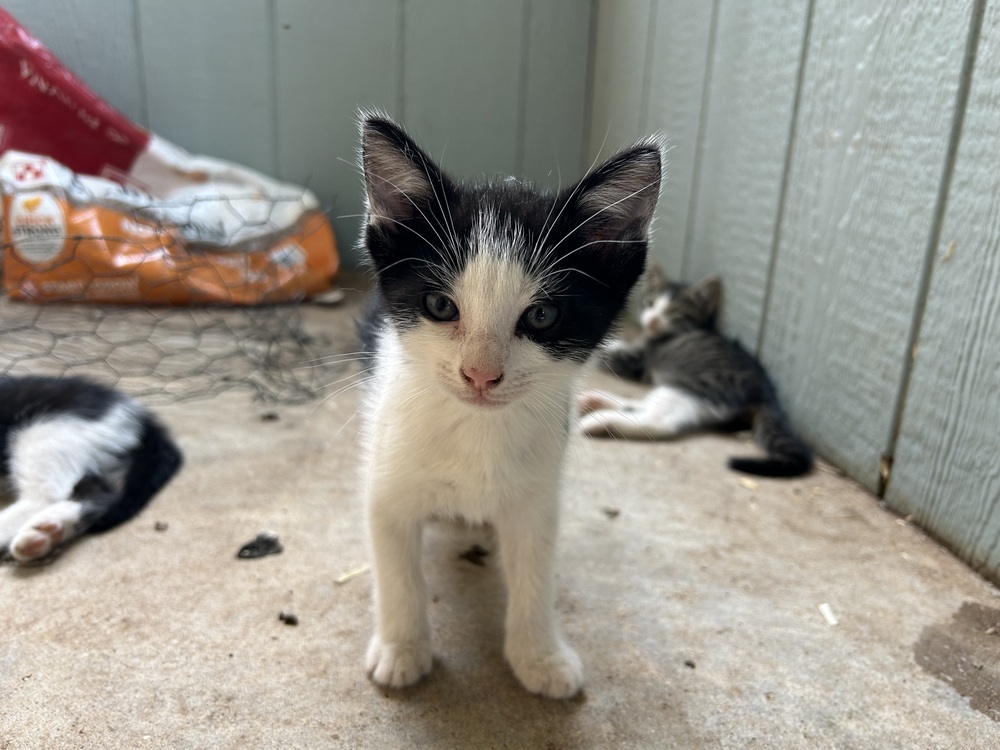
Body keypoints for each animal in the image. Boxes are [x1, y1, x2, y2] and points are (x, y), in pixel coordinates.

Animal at [356, 116, 660, 700]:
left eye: (541, 316)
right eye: (440, 306)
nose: (480, 375)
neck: (478, 428)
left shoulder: (537, 495)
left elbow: (534, 570)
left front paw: (539, 656)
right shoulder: (387, 482)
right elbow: (397, 569)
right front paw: (403, 649)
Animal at [580, 262, 812, 478]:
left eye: (674, 311)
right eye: (650, 303)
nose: (652, 320)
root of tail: (767, 393)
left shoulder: (636, 360)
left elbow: (607, 353)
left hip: (696, 386)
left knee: (660, 421)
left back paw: (602, 420)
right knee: (643, 405)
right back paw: (597, 401)